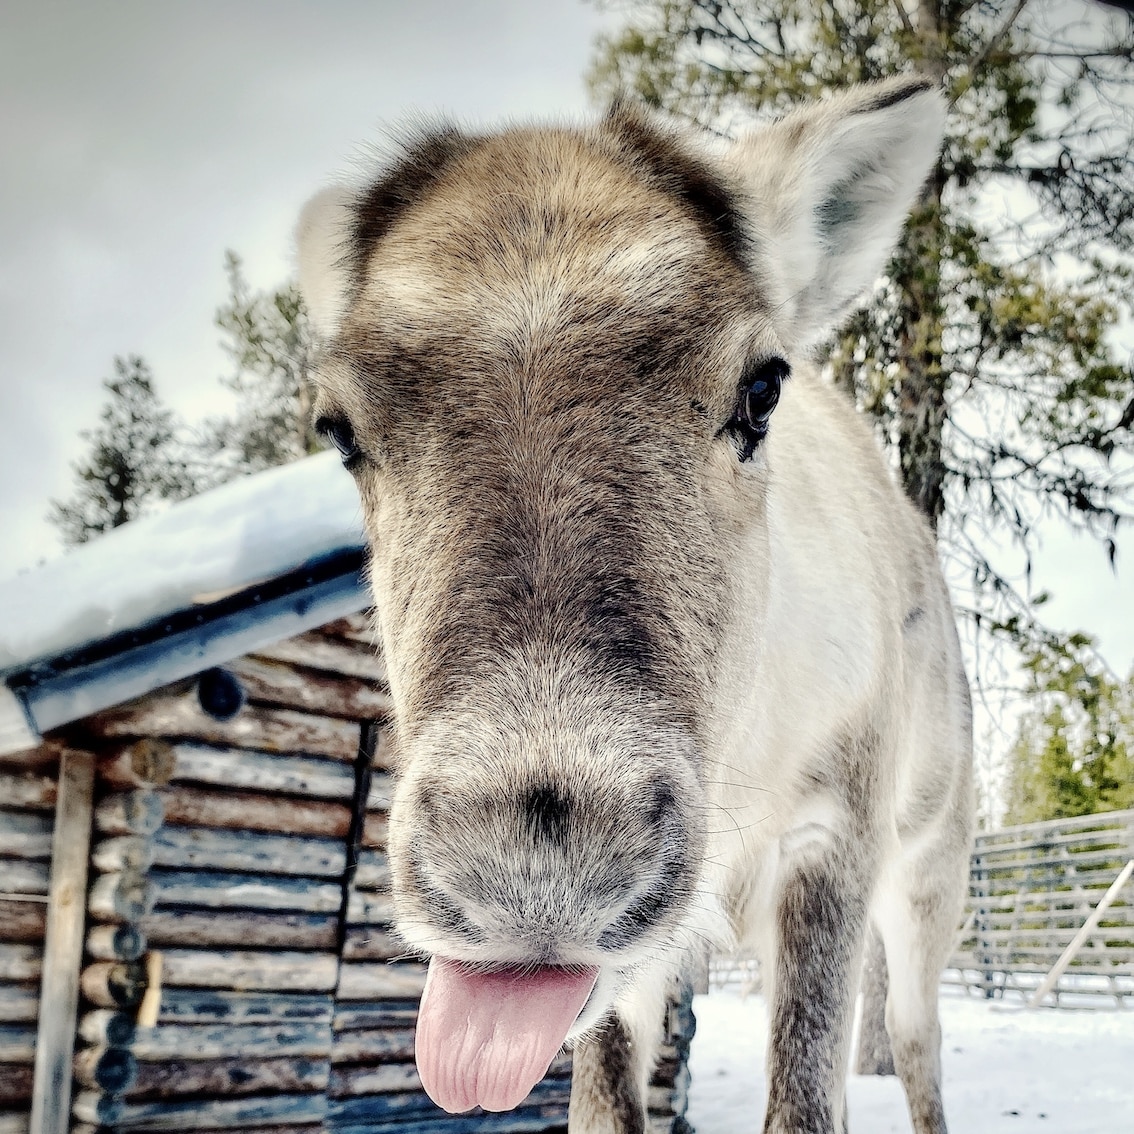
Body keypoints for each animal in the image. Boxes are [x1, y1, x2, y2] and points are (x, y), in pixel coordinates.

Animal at [295, 75, 974, 1134]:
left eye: (762, 387)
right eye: (338, 429)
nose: (536, 864)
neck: (747, 752)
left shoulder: (838, 831)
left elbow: (807, 1093)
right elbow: (607, 1100)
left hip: (932, 865)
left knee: (915, 1039)